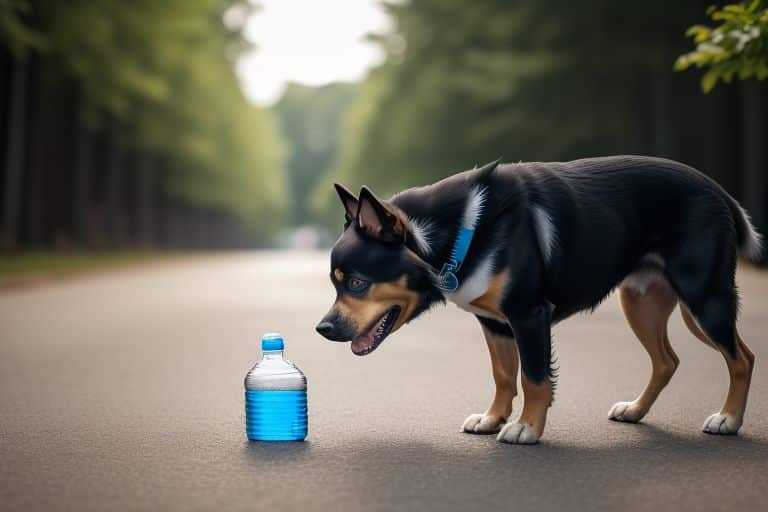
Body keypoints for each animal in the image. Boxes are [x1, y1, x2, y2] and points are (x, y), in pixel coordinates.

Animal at [316, 155, 760, 444]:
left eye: (356, 283)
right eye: (336, 284)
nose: (322, 328)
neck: (454, 232)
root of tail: (719, 192)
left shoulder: (528, 315)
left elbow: (534, 377)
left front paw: (527, 427)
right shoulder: (495, 323)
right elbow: (503, 375)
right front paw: (493, 418)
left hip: (703, 300)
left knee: (742, 358)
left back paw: (728, 420)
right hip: (642, 305)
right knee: (667, 361)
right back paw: (635, 411)